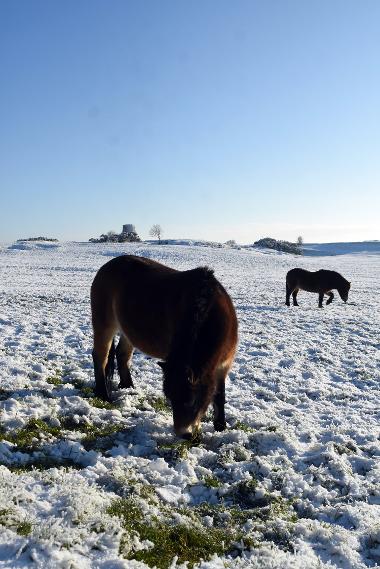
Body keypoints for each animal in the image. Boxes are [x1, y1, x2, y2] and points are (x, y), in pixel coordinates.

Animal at [90, 255, 238, 438]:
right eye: (170, 398)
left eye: (192, 401)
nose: (184, 435)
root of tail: (107, 266)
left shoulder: (223, 365)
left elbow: (219, 395)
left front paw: (220, 427)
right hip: (104, 325)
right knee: (100, 357)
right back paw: (104, 395)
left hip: (126, 331)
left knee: (122, 354)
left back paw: (128, 387)